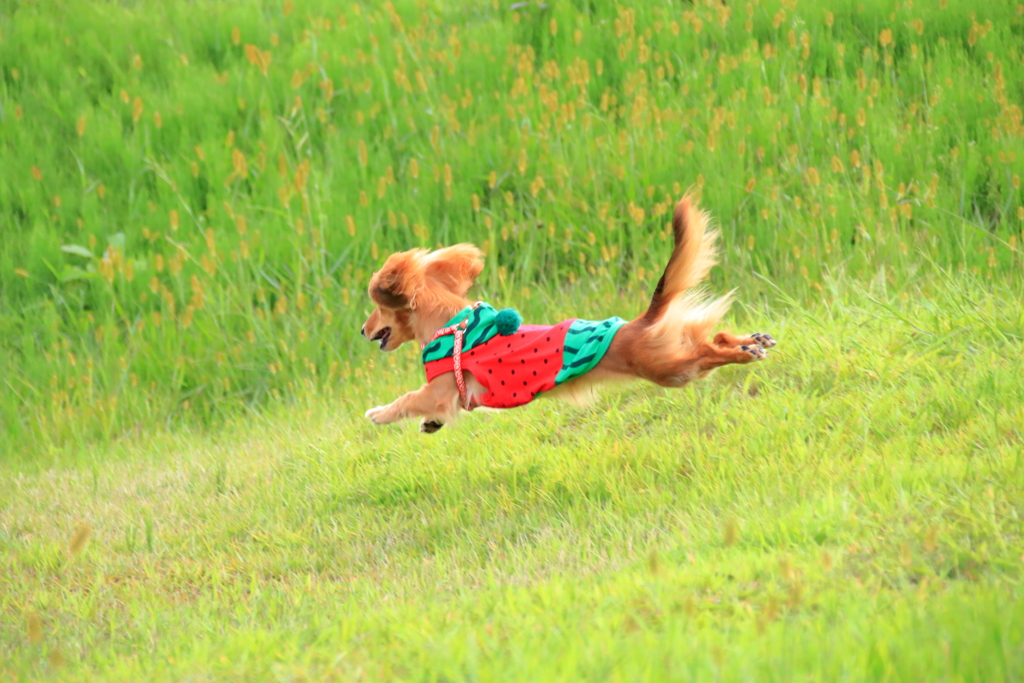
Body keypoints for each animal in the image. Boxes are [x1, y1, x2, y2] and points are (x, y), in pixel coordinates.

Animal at [364, 197, 770, 432]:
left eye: (377, 308)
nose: (363, 331)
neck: (453, 327)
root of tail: (642, 321)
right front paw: (429, 424)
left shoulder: (440, 389)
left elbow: (408, 400)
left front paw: (379, 413)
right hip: (675, 350)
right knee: (714, 336)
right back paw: (753, 340)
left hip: (671, 368)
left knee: (708, 353)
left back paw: (744, 352)